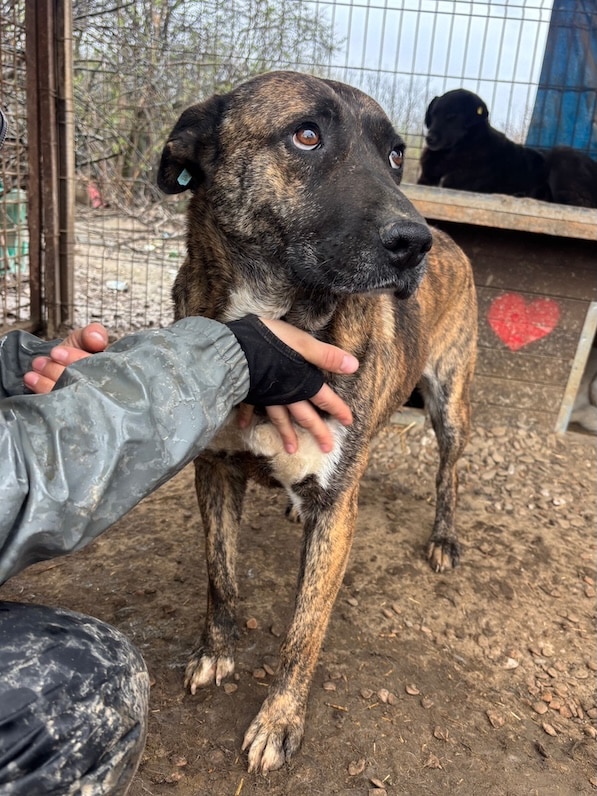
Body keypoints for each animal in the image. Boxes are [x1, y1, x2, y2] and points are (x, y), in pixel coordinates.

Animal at [158, 71, 477, 773]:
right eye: (306, 135)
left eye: (395, 155)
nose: (414, 244)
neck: (282, 329)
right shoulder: (215, 472)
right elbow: (222, 577)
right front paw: (214, 654)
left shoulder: (338, 512)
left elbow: (305, 628)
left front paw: (280, 719)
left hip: (449, 404)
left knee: (448, 473)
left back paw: (444, 537)